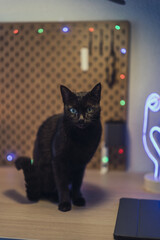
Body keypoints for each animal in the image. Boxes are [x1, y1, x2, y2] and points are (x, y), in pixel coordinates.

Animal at [14, 83, 101, 212]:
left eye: (90, 109)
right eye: (72, 110)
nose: (81, 119)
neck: (81, 137)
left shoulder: (81, 165)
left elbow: (77, 184)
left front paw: (77, 198)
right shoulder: (58, 161)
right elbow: (62, 184)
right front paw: (65, 203)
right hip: (47, 171)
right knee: (47, 191)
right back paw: (55, 197)